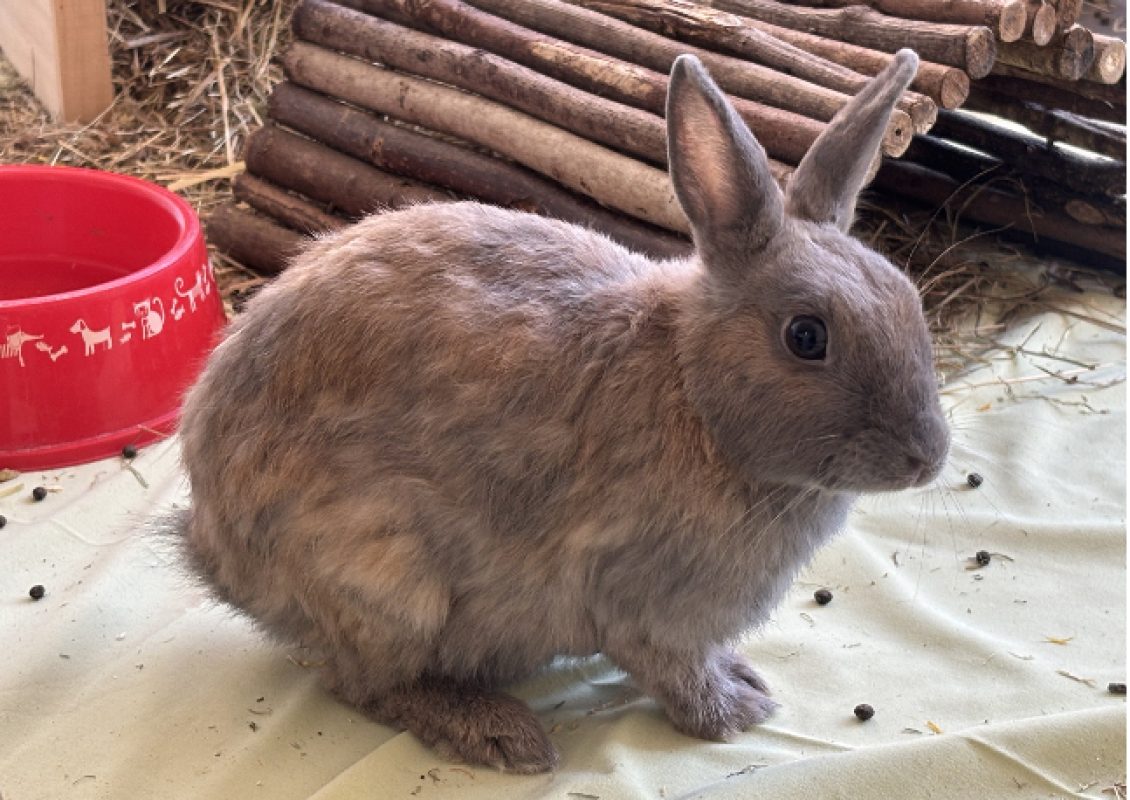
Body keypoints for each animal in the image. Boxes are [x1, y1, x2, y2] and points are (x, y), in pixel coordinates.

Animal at [173, 48, 948, 773]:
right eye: (806, 336)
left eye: (909, 299)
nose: (928, 458)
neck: (695, 391)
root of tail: (217, 553)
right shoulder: (644, 605)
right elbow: (672, 671)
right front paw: (733, 711)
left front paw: (744, 680)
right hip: (387, 584)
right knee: (366, 685)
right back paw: (498, 732)